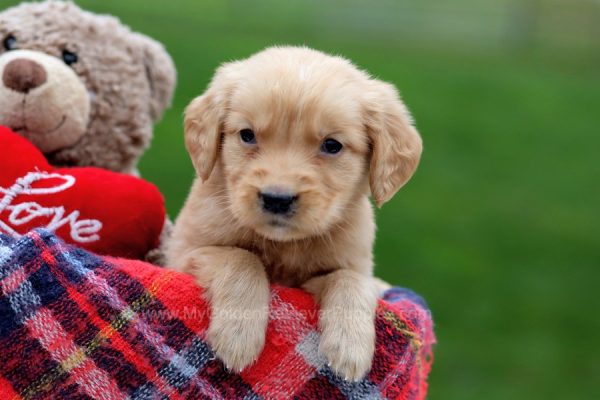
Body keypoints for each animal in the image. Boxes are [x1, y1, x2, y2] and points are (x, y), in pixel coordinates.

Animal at [165, 47, 422, 382]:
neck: (285, 244)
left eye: (332, 145)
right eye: (247, 135)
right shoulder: (183, 253)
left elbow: (352, 279)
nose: (277, 199)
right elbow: (241, 257)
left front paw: (350, 346)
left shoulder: (353, 263)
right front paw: (238, 335)